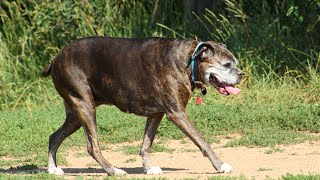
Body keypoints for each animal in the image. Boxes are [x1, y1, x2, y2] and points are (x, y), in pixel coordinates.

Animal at [43, 36, 242, 176]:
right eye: (227, 65)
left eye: (235, 64)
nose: (241, 74)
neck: (188, 61)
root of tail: (56, 58)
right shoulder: (177, 113)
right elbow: (202, 141)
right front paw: (220, 165)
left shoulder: (156, 115)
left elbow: (146, 144)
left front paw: (149, 168)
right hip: (85, 107)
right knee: (93, 147)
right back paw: (113, 171)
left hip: (76, 115)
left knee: (54, 137)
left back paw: (53, 169)